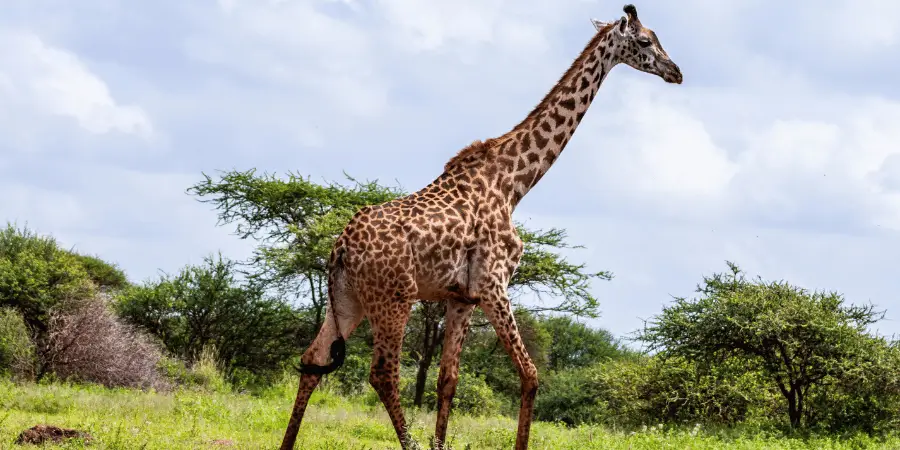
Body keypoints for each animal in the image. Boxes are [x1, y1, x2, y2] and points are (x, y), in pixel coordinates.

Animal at [279, 4, 682, 450]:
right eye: (645, 41)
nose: (676, 72)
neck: (514, 183)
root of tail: (340, 248)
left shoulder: (462, 297)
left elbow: (448, 381)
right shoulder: (494, 284)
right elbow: (530, 375)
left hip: (349, 300)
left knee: (313, 360)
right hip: (394, 298)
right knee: (382, 374)